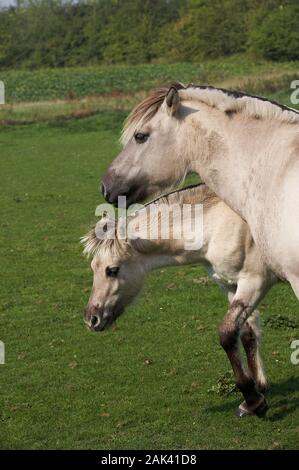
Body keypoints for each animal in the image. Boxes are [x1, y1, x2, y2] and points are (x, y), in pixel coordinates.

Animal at [82, 183, 278, 414]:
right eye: (93, 267)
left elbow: (227, 334)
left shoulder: (254, 283)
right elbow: (246, 333)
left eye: (111, 270)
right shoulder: (231, 286)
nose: (91, 318)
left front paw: (251, 397)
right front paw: (258, 390)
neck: (219, 224)